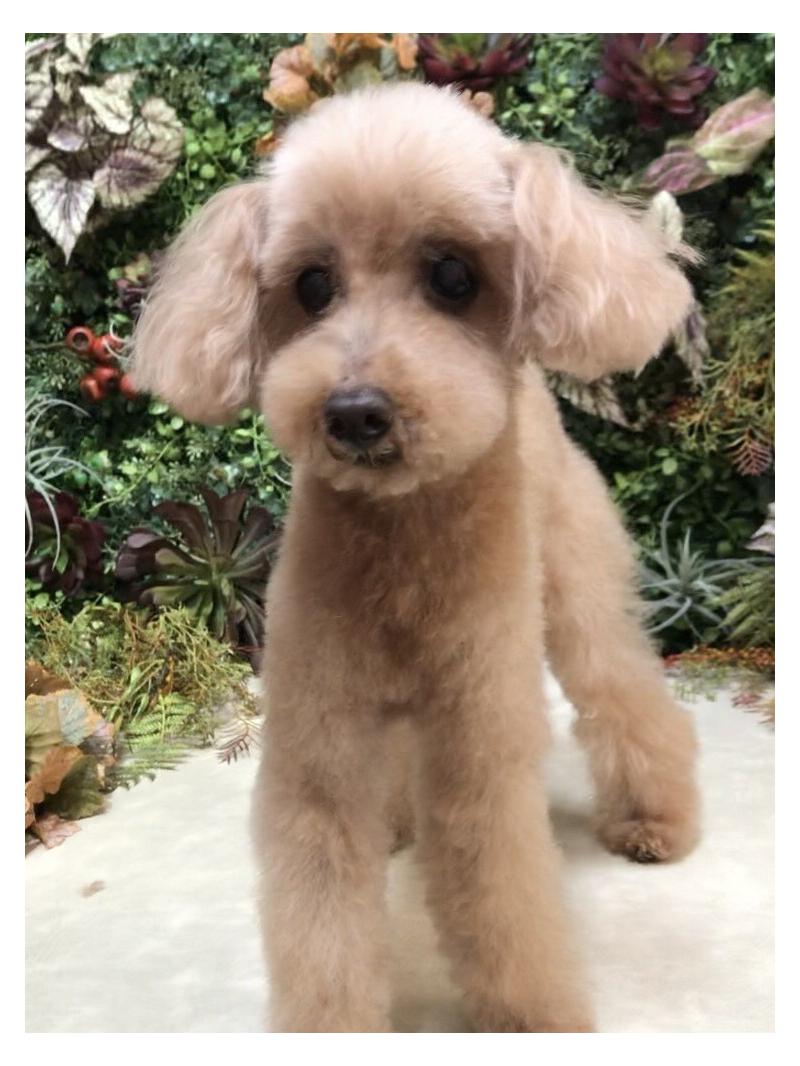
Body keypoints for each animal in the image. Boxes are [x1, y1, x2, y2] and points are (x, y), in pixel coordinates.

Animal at [131, 82, 700, 1033]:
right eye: (312, 284)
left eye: (454, 276)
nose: (355, 412)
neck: (400, 548)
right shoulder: (318, 745)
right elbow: (324, 925)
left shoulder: (480, 748)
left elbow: (503, 901)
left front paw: (533, 1021)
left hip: (575, 592)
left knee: (623, 691)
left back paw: (655, 820)